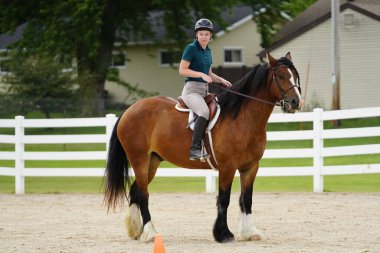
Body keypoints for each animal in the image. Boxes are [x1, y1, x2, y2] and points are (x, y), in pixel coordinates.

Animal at [103, 52, 302, 243]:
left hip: (152, 161)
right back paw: (151, 234)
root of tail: (129, 110)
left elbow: (246, 199)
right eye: (281, 75)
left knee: (136, 191)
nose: (296, 102)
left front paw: (249, 233)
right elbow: (224, 199)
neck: (241, 118)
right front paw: (223, 234)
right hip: (139, 160)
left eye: (295, 75)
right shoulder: (228, 167)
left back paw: (137, 231)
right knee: (143, 195)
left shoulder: (251, 167)